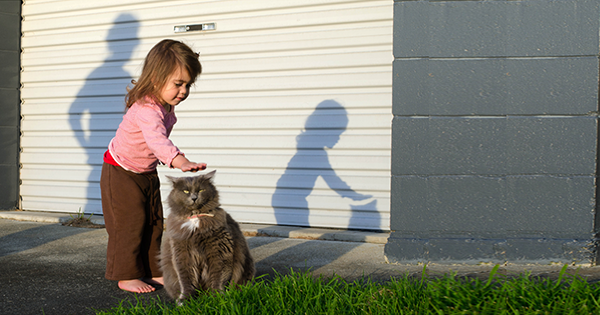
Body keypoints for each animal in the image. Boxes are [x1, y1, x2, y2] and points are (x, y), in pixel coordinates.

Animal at [159, 172, 253, 304]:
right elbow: (186, 279)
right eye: (186, 191)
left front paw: (217, 297)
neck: (195, 220)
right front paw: (185, 300)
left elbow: (218, 278)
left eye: (201, 190)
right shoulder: (182, 254)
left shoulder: (219, 252)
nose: (194, 197)